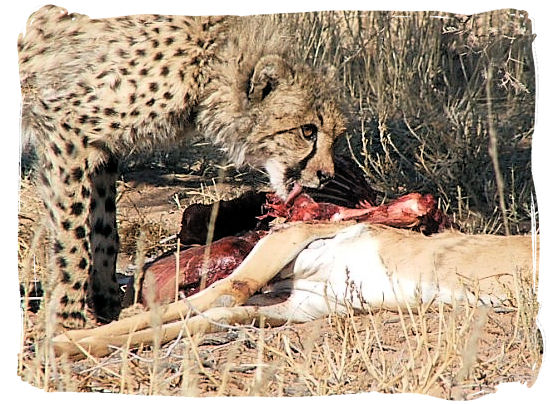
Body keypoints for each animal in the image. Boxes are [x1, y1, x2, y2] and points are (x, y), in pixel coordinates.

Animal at [18, 5, 350, 328]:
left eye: (336, 135)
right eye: (307, 131)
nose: (326, 176)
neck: (209, 62)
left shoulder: (98, 147)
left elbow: (104, 227)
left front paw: (107, 302)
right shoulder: (66, 130)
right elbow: (73, 232)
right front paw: (67, 317)